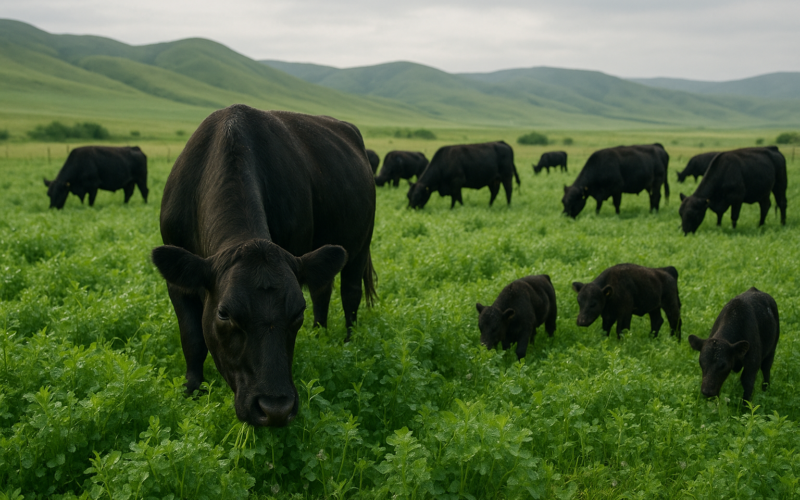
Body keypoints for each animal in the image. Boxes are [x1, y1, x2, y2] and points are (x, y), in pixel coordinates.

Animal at [151, 104, 377, 427]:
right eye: (224, 313)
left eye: (297, 313)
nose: (275, 409)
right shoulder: (178, 282)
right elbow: (192, 339)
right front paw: (192, 391)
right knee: (323, 291)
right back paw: (320, 336)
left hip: (360, 244)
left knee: (350, 294)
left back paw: (347, 344)